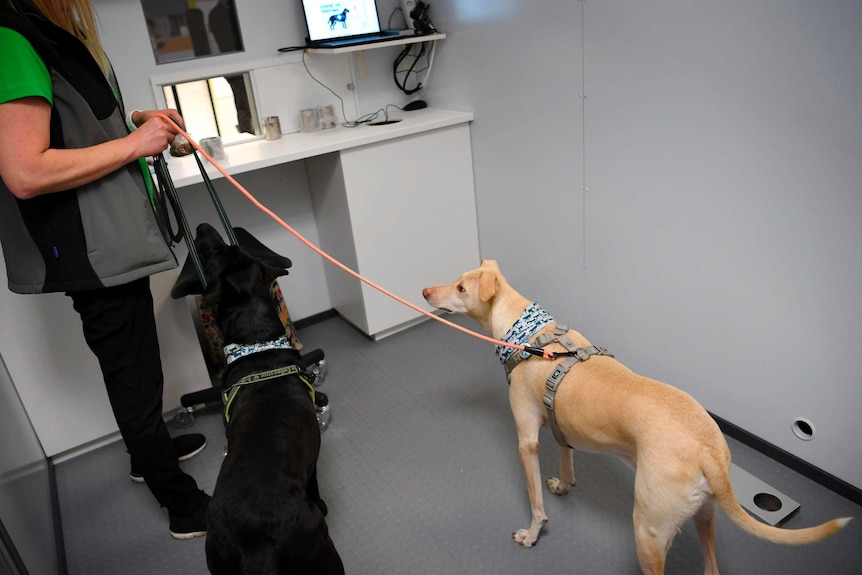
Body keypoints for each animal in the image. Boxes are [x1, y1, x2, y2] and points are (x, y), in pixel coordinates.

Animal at [196, 225, 344, 575]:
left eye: (224, 250)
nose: (202, 227)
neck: (257, 342)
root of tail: (257, 546)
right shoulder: (312, 462)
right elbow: (315, 484)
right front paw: (323, 503)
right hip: (324, 554)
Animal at [424, 260, 852, 575]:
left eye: (461, 289)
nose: (426, 292)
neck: (530, 334)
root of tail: (709, 452)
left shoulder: (526, 440)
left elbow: (536, 506)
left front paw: (531, 535)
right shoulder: (561, 428)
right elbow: (566, 462)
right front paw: (564, 484)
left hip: (648, 533)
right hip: (704, 516)